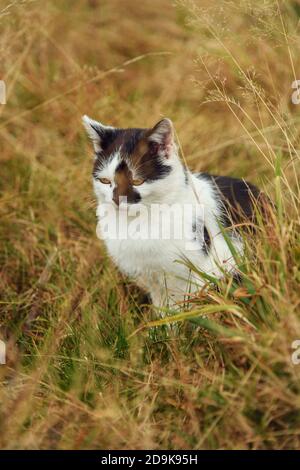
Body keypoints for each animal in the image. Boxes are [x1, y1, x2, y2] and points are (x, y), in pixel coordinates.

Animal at [82, 116, 262, 310]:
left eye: (137, 181)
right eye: (105, 181)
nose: (117, 200)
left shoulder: (195, 275)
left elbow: (188, 307)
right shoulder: (153, 281)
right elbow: (163, 308)